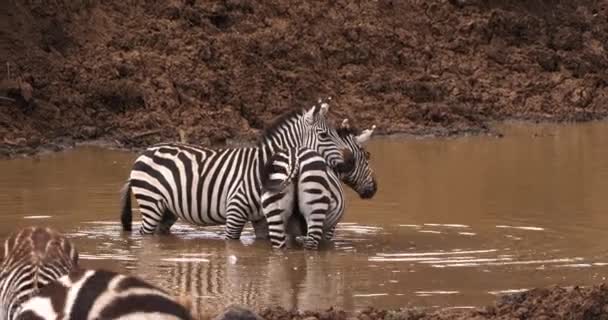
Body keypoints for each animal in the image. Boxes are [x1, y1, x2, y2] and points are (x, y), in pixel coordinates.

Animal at [119, 100, 356, 240]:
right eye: (324, 135)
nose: (349, 163)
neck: (264, 166)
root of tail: (146, 151)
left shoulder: (260, 218)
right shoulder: (235, 210)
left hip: (167, 209)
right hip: (151, 202)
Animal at [260, 121, 376, 249]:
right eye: (366, 156)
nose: (374, 189)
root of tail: (295, 158)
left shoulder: (291, 234)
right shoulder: (330, 229)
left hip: (275, 214)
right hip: (316, 206)